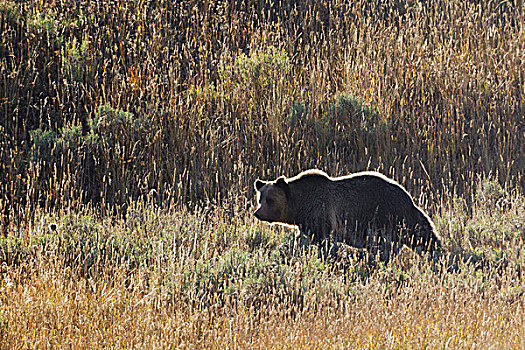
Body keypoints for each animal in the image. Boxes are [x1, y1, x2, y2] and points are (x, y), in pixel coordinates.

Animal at [252, 168, 440, 262]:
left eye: (270, 199)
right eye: (260, 198)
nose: (257, 213)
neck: (299, 206)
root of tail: (407, 197)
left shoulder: (321, 216)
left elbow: (323, 242)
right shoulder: (306, 223)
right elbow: (300, 240)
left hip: (386, 218)